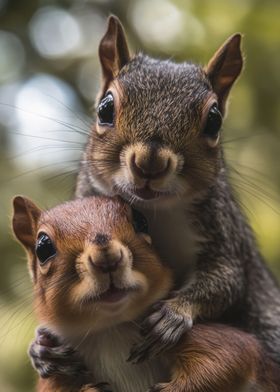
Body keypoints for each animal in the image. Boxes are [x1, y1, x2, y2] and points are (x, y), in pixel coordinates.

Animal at [12, 194, 280, 390]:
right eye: (43, 247)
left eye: (140, 221)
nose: (107, 258)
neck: (110, 329)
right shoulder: (59, 375)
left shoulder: (200, 339)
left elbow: (230, 358)